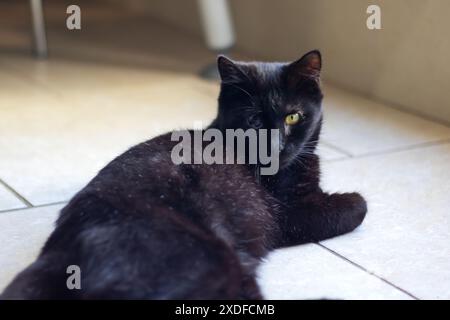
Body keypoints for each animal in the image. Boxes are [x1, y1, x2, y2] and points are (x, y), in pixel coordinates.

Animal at [1, 50, 366, 300]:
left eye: (293, 117)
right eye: (253, 121)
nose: (275, 147)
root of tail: (61, 252)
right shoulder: (287, 214)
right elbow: (360, 206)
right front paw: (354, 200)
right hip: (210, 260)